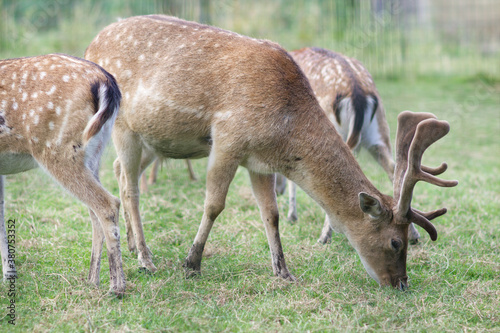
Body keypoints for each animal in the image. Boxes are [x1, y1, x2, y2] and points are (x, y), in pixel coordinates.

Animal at [0, 55, 125, 296]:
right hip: (94, 152)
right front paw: (9, 274)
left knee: (108, 203)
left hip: (58, 150)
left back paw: (117, 287)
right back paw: (92, 280)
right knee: (95, 210)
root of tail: (107, 82)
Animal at [278, 46, 422, 244]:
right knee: (395, 171)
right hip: (380, 132)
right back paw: (414, 235)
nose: (278, 191)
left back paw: (324, 237)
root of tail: (358, 94)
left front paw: (292, 216)